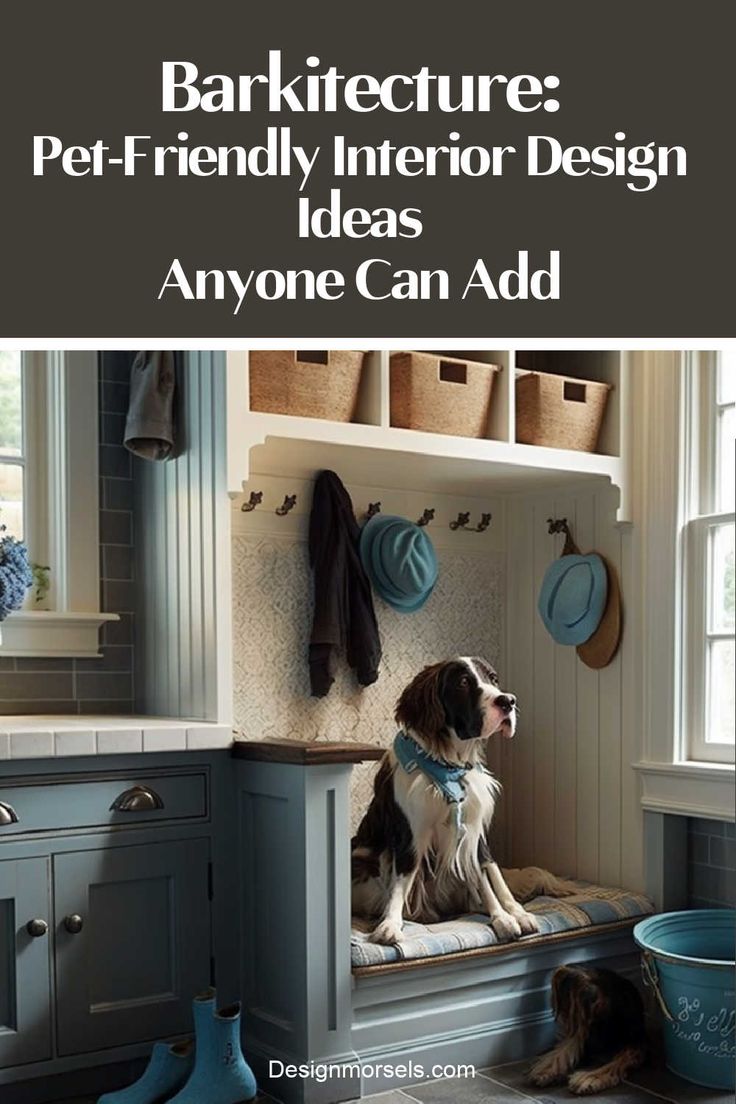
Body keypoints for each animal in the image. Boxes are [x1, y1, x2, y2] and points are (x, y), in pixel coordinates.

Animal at [353, 657, 573, 945]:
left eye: (493, 678)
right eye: (464, 682)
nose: (508, 701)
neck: (448, 764)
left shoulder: (472, 829)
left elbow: (485, 878)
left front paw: (503, 918)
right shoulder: (411, 834)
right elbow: (400, 883)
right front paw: (390, 923)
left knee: (495, 877)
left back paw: (517, 912)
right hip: (362, 860)